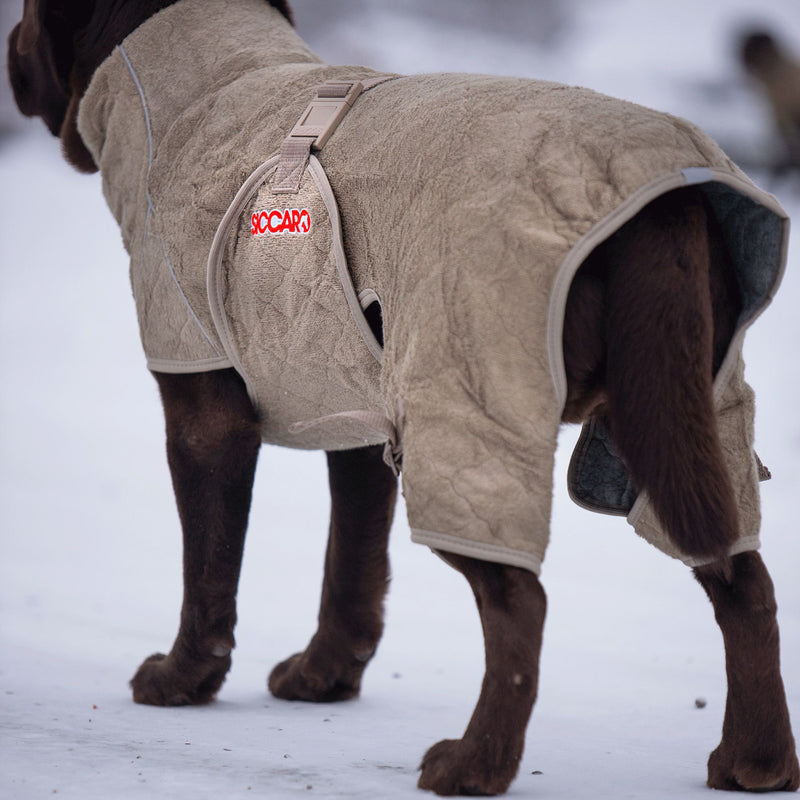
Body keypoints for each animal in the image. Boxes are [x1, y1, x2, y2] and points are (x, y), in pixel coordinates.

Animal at [7, 3, 800, 796]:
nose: (10, 51)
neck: (204, 84)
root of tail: (666, 210)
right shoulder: (358, 416)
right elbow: (351, 565)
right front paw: (322, 676)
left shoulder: (205, 410)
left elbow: (208, 567)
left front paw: (181, 680)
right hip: (681, 419)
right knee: (743, 580)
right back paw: (754, 761)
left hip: (471, 408)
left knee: (520, 601)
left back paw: (475, 764)